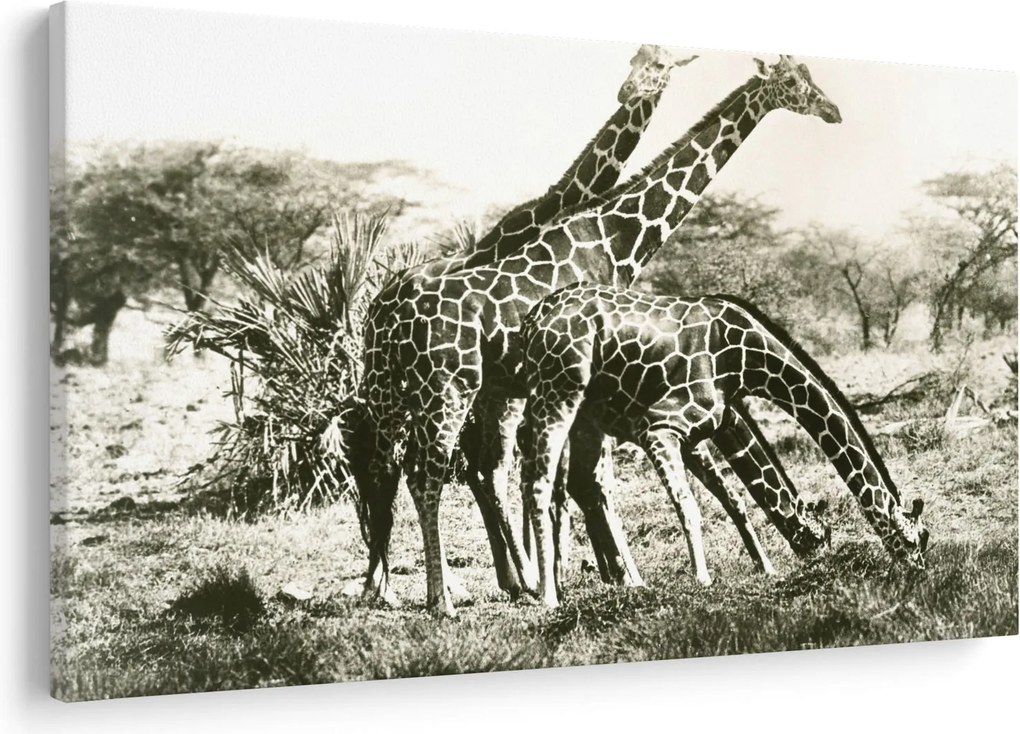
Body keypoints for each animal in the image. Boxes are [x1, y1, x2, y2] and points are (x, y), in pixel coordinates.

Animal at [353, 55, 842, 616]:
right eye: (794, 81)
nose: (832, 110)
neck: (614, 235)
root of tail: (384, 315)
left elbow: (573, 481)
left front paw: (583, 575)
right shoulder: (594, 382)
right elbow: (593, 480)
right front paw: (621, 578)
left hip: (400, 394)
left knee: (394, 472)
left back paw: (396, 588)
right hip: (450, 390)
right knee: (429, 472)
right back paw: (446, 597)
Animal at [517, 284, 929, 606]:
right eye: (915, 541)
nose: (919, 574)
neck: (747, 357)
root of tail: (533, 318)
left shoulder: (708, 427)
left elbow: (734, 500)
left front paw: (766, 568)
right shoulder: (660, 427)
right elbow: (690, 505)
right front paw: (703, 580)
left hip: (581, 417)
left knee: (579, 486)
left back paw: (616, 583)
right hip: (559, 391)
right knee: (541, 482)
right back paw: (550, 595)